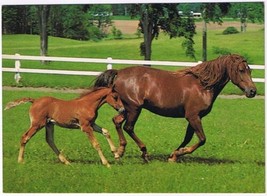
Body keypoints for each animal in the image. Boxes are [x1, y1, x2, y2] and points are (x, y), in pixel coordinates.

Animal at [93, 54, 258, 162]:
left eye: (250, 70)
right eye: (241, 70)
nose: (252, 91)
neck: (203, 86)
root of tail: (119, 73)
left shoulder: (194, 117)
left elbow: (188, 138)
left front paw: (173, 155)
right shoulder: (193, 116)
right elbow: (202, 139)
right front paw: (179, 153)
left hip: (126, 109)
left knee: (117, 121)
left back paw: (119, 152)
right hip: (134, 108)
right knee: (128, 127)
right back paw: (144, 153)